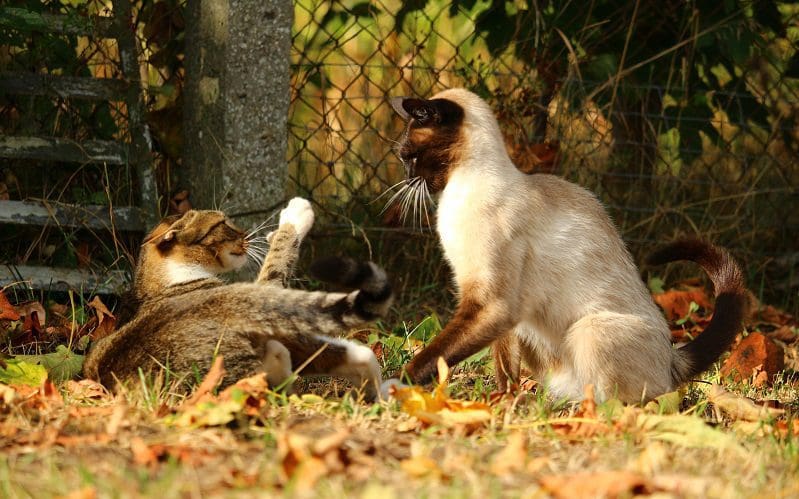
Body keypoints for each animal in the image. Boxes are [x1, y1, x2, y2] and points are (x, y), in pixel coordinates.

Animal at [388, 89, 752, 402]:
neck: (457, 193)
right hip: (532, 330)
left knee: (636, 401)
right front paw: (501, 402)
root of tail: (671, 360)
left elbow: (436, 355)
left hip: (588, 330)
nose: (406, 178)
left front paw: (398, 384)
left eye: (410, 157)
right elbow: (504, 369)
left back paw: (583, 412)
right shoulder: (496, 310)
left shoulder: (491, 302)